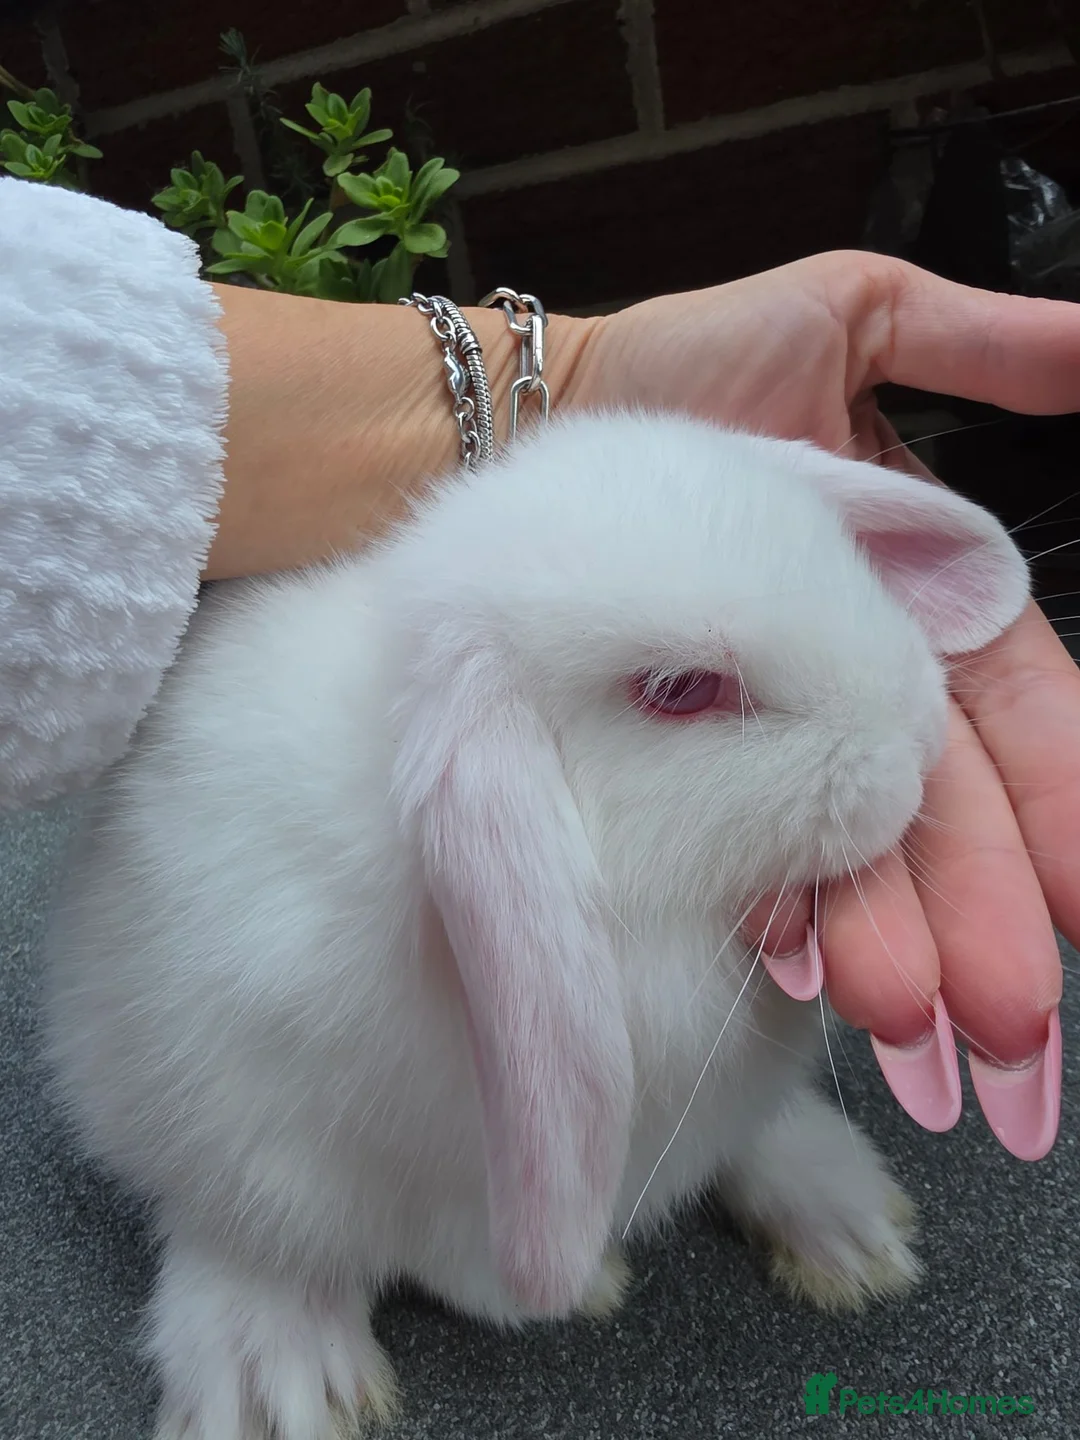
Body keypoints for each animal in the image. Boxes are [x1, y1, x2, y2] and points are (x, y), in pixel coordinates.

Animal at [42, 409, 1030, 1440]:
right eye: (681, 691)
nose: (918, 738)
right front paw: (573, 1290)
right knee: (237, 1229)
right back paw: (278, 1382)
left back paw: (846, 1224)